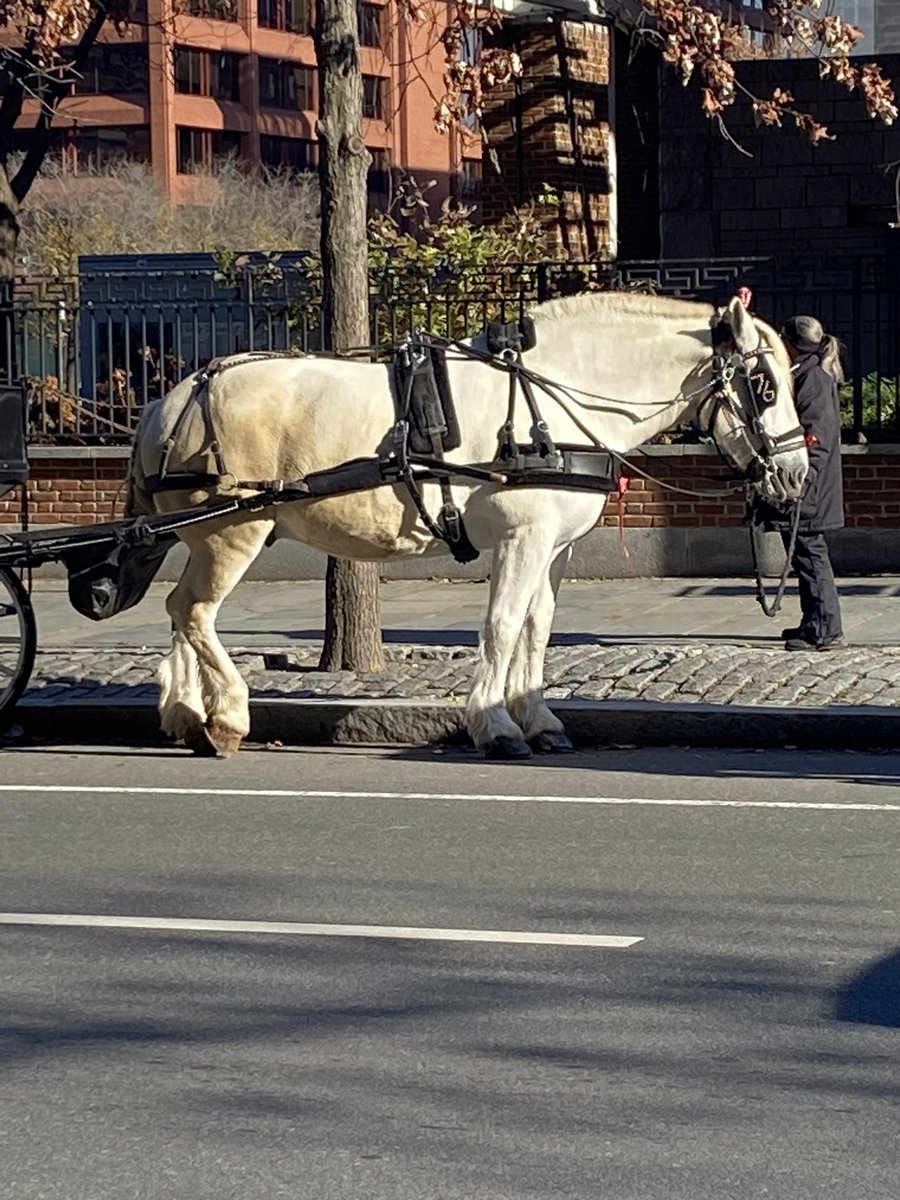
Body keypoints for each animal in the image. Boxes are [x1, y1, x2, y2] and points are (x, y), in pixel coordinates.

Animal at [128, 291, 811, 758]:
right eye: (764, 386)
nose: (799, 474)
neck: (555, 398)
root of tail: (172, 396)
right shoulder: (521, 539)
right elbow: (502, 626)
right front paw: (495, 723)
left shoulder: (553, 549)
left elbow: (537, 628)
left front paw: (538, 717)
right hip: (231, 532)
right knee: (195, 610)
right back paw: (228, 715)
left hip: (207, 533)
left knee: (182, 610)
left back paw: (186, 712)